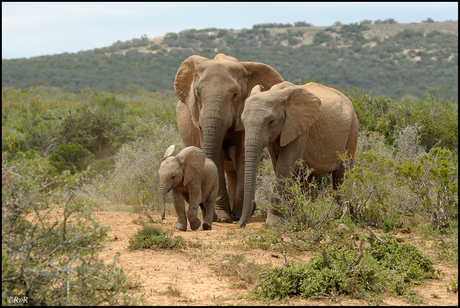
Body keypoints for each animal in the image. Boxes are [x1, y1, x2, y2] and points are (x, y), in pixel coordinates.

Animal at [174, 54, 284, 223]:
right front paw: (223, 218)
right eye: (197, 92)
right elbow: (218, 158)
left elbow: (242, 156)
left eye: (235, 95)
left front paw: (238, 215)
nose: (209, 216)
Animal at [237, 82, 360, 229]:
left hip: (352, 130)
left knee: (340, 175)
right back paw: (312, 210)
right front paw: (290, 216)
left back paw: (339, 216)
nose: (240, 225)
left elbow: (284, 165)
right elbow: (278, 165)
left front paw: (275, 222)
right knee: (305, 180)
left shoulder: (300, 127)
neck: (276, 92)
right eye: (243, 121)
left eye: (270, 122)